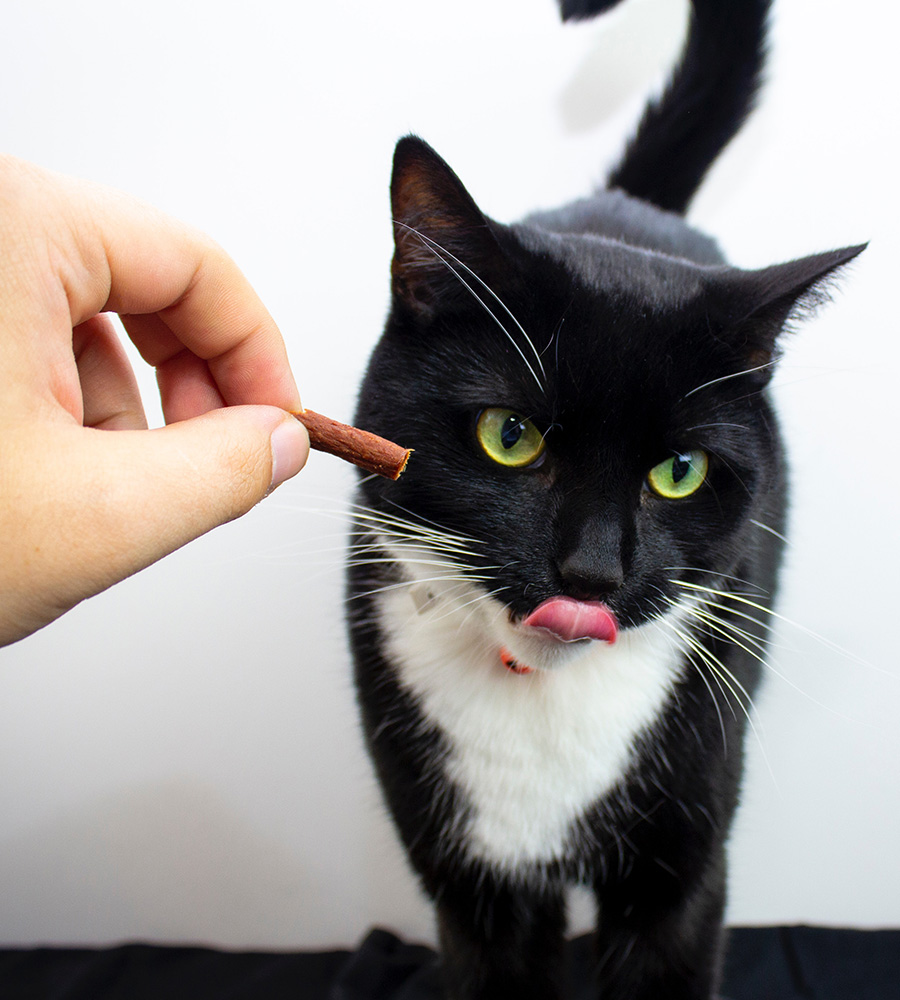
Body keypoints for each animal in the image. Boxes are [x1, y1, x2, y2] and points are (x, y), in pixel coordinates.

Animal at [346, 1, 864, 1000]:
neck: (541, 696)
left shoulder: (682, 869)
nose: (591, 568)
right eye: (510, 435)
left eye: (680, 471)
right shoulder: (474, 889)